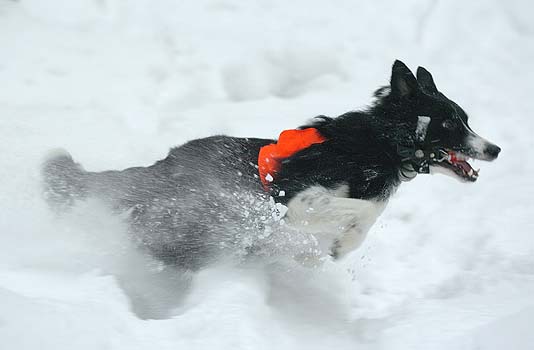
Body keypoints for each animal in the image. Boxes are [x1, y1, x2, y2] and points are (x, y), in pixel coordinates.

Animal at [42, 59, 502, 268]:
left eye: (466, 119)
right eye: (450, 123)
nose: (495, 149)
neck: (377, 146)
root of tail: (159, 167)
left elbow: (369, 210)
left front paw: (337, 247)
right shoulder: (294, 199)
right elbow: (366, 208)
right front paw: (342, 244)